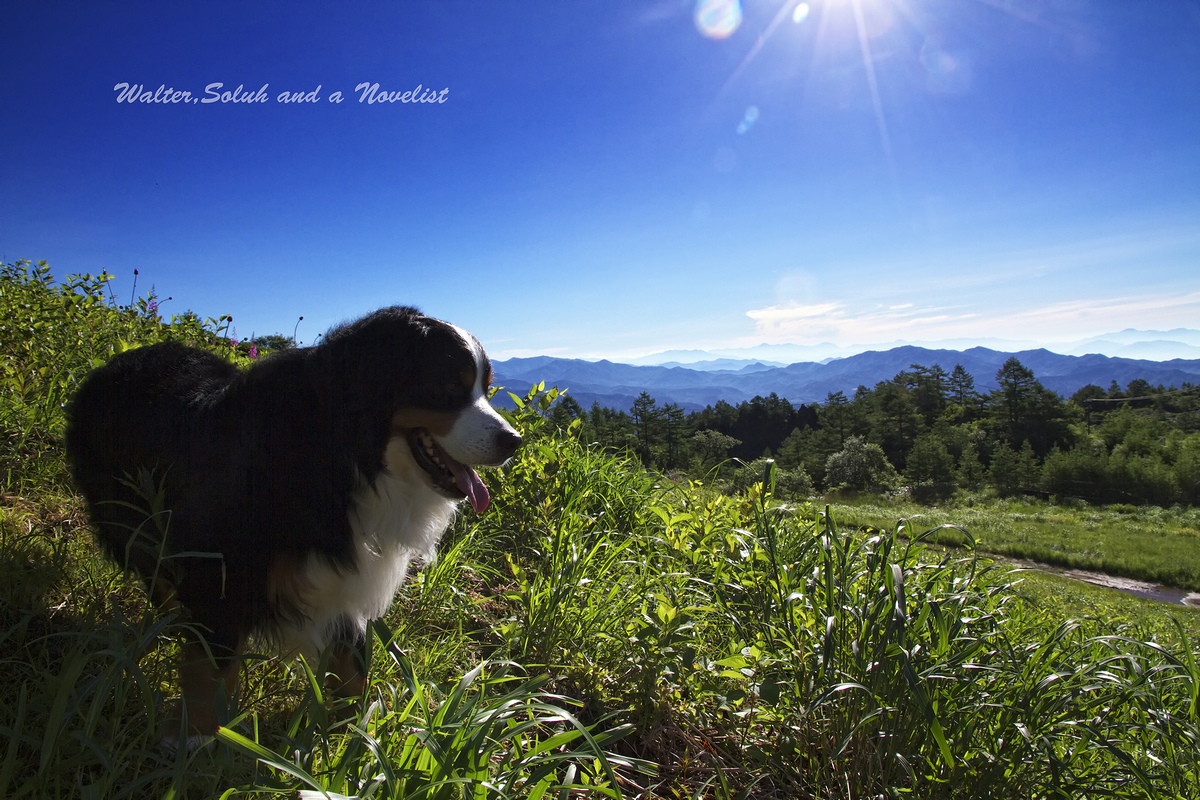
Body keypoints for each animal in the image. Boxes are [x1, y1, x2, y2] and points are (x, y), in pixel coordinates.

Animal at [62, 304, 520, 743]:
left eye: (485, 389)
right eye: (449, 386)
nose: (514, 441)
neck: (342, 457)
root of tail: (113, 363)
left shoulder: (345, 577)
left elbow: (352, 666)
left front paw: (356, 739)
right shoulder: (221, 565)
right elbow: (210, 668)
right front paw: (194, 741)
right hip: (130, 520)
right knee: (156, 575)